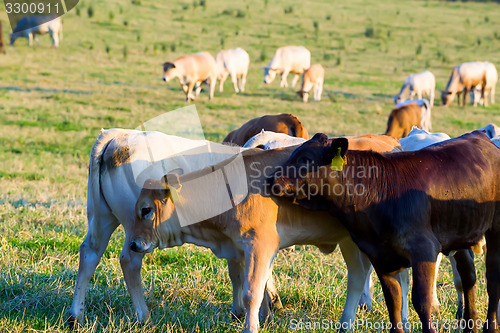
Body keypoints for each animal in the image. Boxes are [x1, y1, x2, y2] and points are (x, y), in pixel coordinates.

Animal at [272, 132, 500, 332]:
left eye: (305, 159)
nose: (270, 180)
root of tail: (480, 136)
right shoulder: (380, 256)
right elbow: (394, 301)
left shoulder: (424, 250)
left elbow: (421, 301)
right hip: (461, 233)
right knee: (468, 277)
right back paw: (470, 326)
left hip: (494, 232)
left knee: (492, 279)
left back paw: (490, 327)